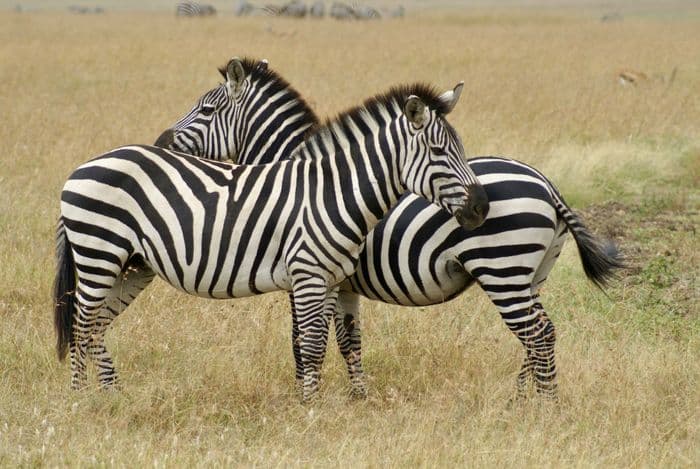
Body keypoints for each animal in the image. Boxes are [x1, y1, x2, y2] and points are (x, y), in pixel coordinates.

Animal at [53, 58, 489, 402]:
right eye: (439, 151)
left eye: (206, 109)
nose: (481, 207)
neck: (333, 191)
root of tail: (82, 167)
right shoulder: (308, 276)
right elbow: (309, 344)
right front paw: (310, 407)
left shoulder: (330, 279)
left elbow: (323, 342)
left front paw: (323, 399)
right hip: (100, 255)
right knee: (82, 322)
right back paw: (81, 399)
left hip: (130, 265)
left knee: (95, 325)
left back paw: (110, 395)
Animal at [157, 59, 623, 400]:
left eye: (206, 110)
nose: (161, 142)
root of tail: (546, 182)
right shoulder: (341, 282)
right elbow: (348, 339)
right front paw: (358, 398)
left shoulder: (307, 275)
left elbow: (301, 338)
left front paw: (305, 396)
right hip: (532, 273)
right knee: (537, 335)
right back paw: (520, 400)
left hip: (501, 268)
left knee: (538, 334)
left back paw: (544, 406)